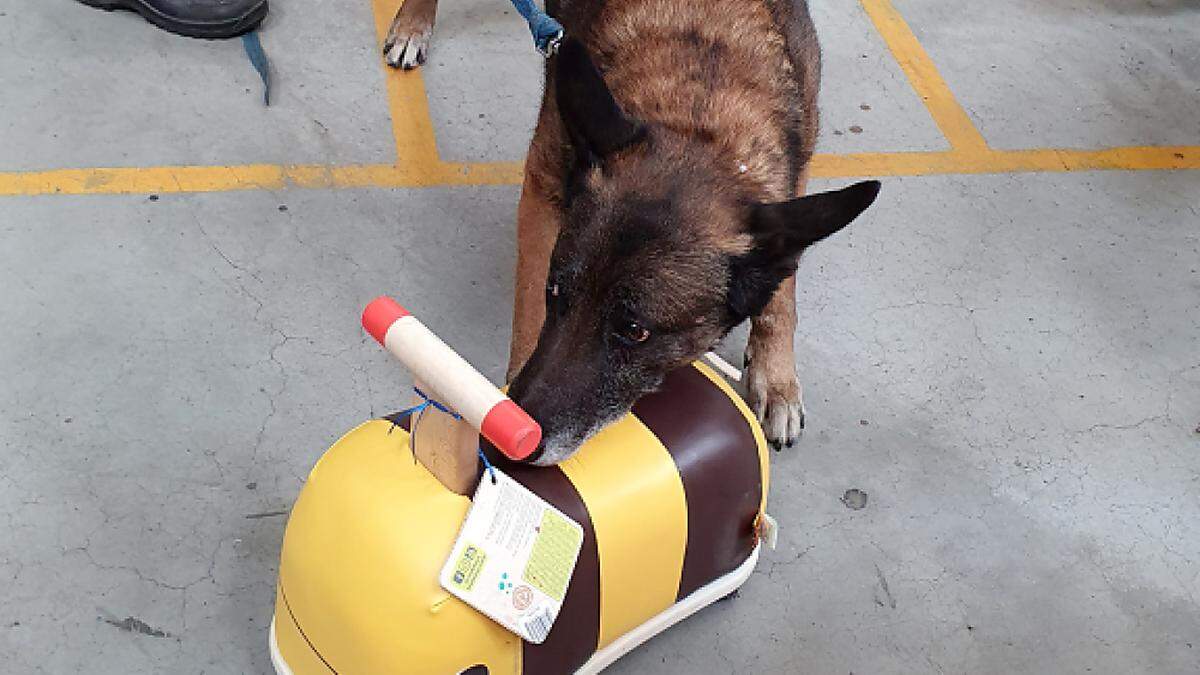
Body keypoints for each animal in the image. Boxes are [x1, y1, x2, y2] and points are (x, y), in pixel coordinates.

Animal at [386, 0, 883, 461]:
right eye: (555, 291)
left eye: (635, 331)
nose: (511, 445)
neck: (700, 104)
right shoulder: (542, 186)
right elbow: (527, 312)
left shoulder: (792, 184)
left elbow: (783, 293)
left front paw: (776, 378)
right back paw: (412, 24)